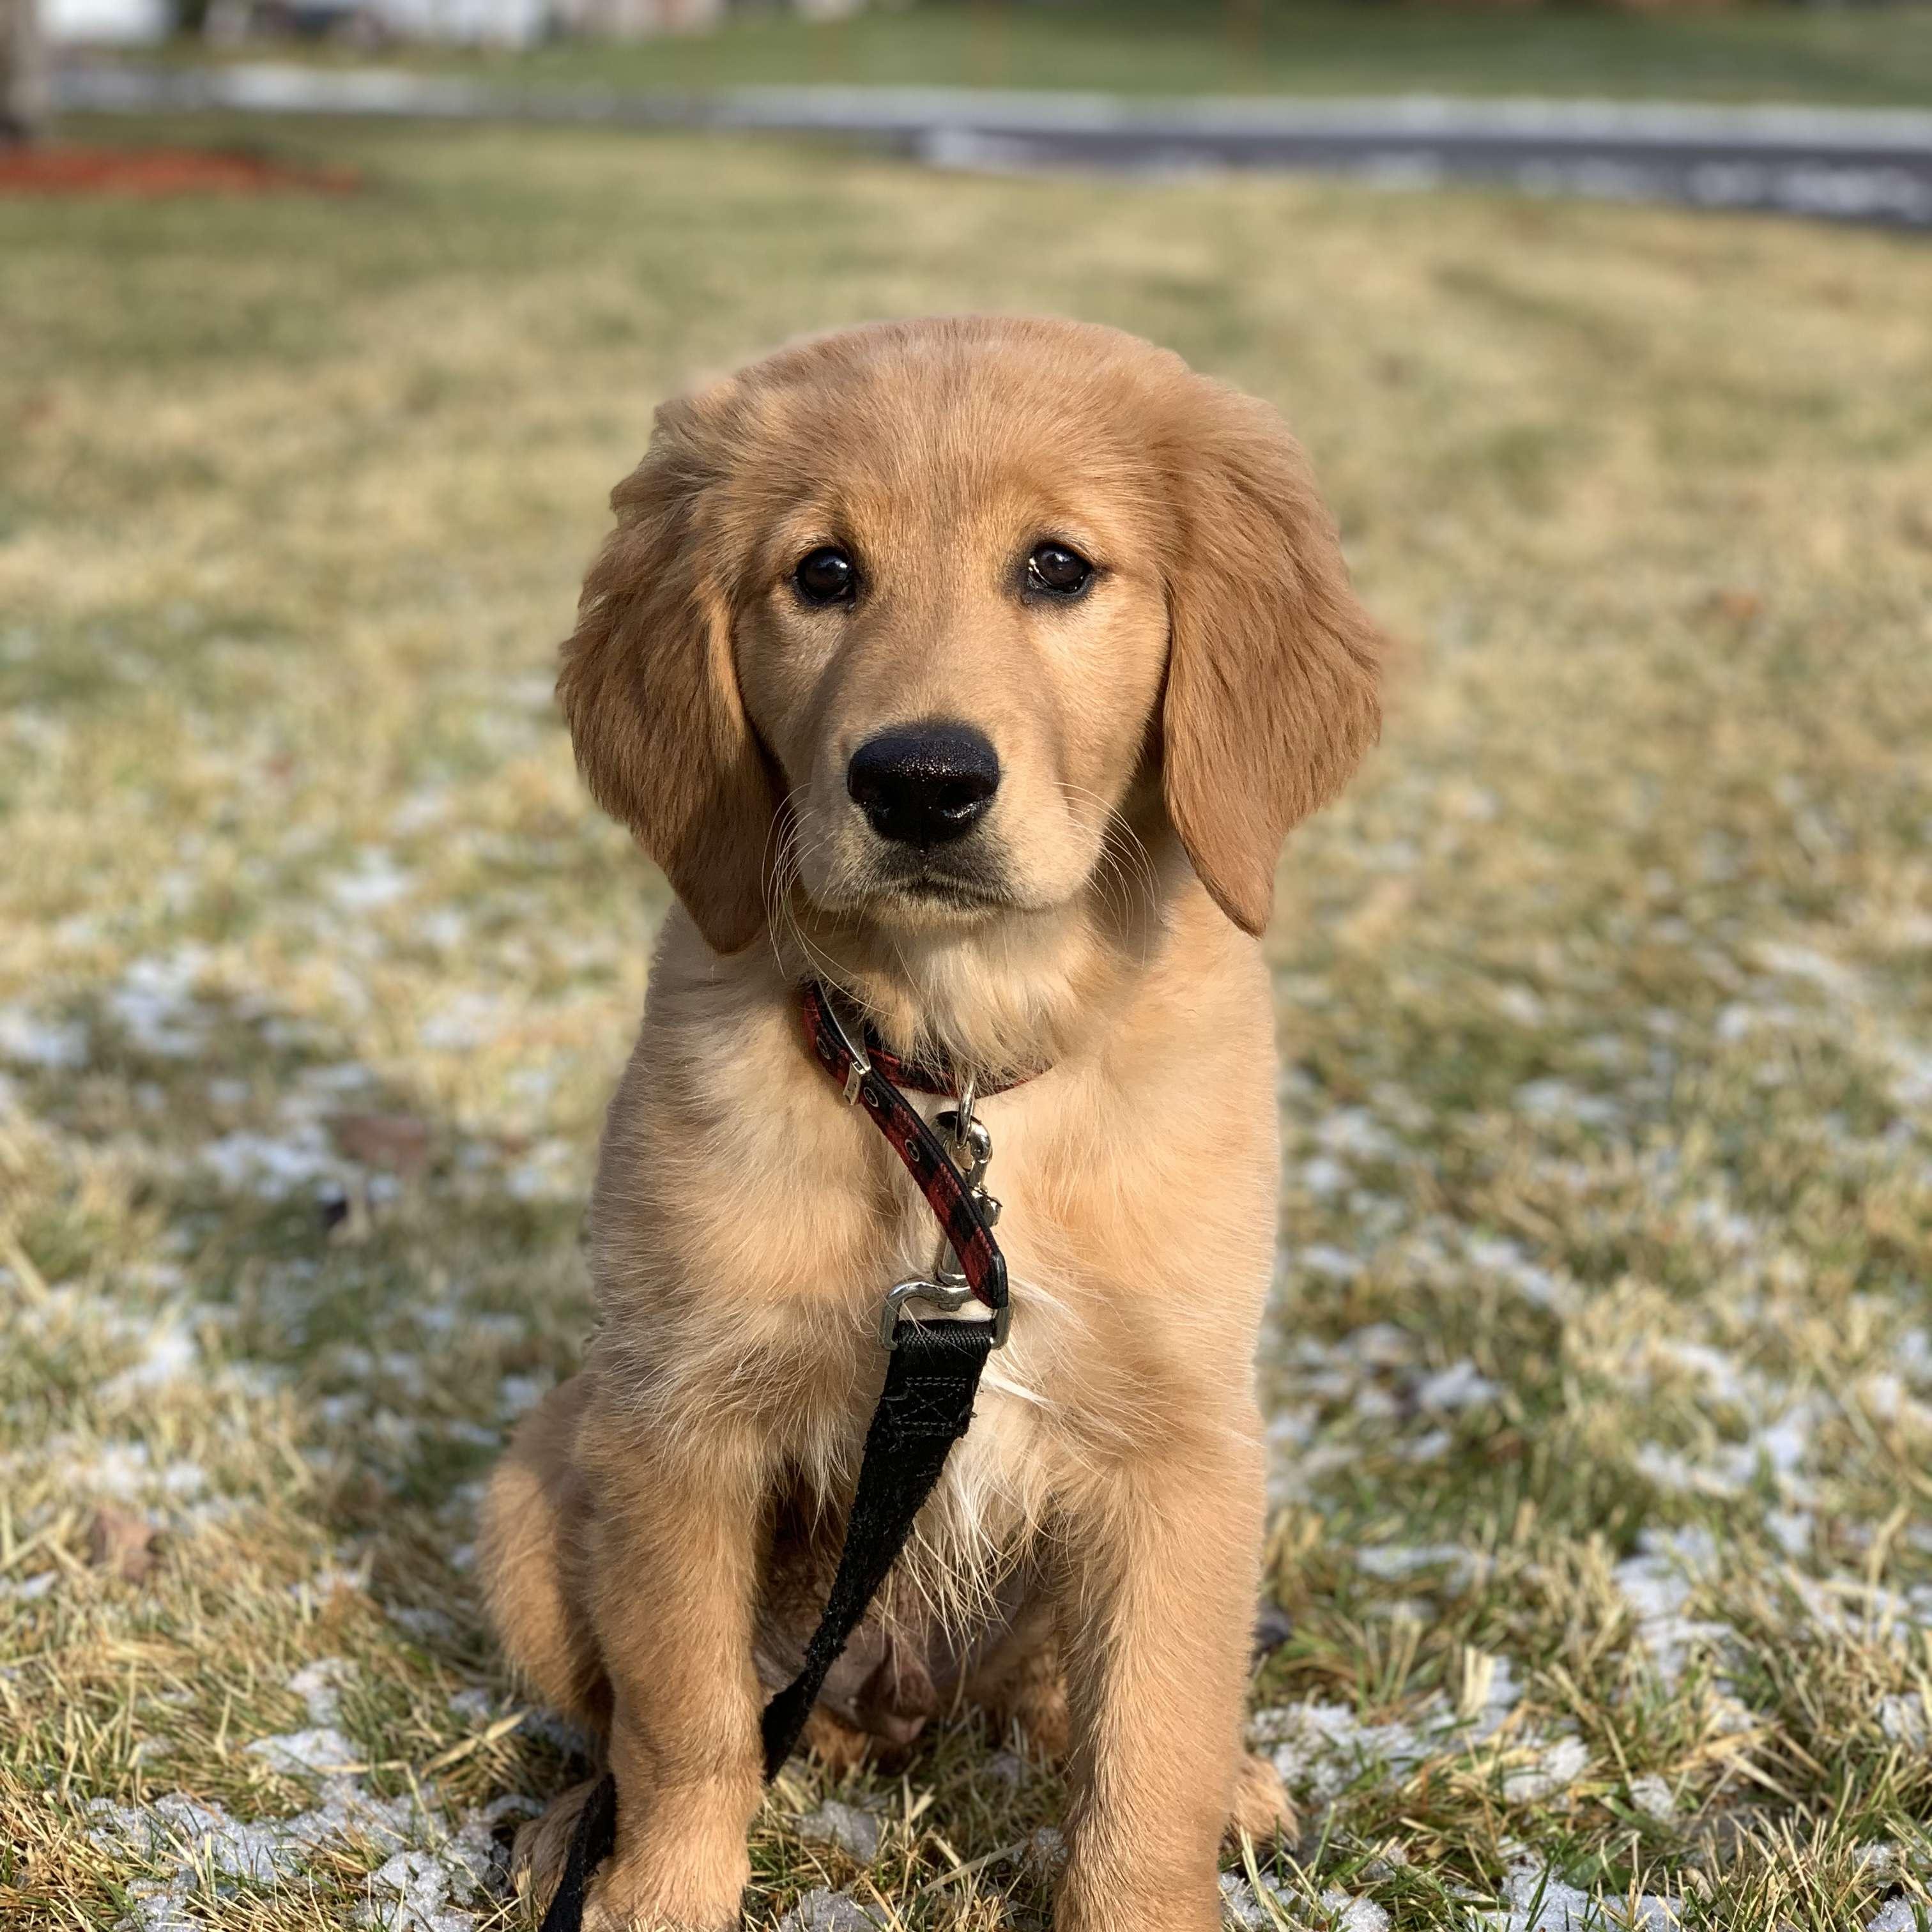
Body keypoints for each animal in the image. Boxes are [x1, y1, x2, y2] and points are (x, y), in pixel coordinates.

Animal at [475, 316, 1383, 1932]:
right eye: (824, 573)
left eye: (1059, 568)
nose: (922, 782)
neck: (953, 1057)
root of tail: (894, 1703)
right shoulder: (678, 1420)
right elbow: (686, 1720)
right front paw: (658, 1892)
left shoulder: (1184, 1448)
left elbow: (1149, 1751)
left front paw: (1161, 1865)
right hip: (535, 1486)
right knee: (640, 1716)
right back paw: (575, 1825)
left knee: (1070, 1703)